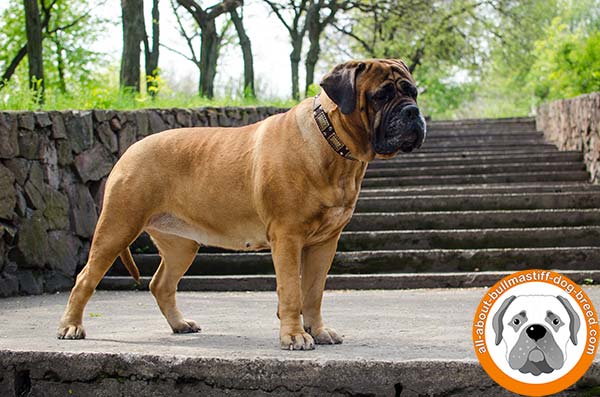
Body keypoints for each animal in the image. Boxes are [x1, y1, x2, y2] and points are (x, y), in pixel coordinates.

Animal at [56, 58, 426, 350]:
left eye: (413, 92)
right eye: (381, 96)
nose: (413, 112)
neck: (333, 143)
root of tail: (129, 149)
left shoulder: (324, 243)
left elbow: (314, 292)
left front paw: (318, 331)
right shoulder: (288, 238)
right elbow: (292, 291)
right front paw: (294, 336)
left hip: (181, 245)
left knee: (161, 284)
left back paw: (179, 324)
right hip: (117, 227)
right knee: (85, 278)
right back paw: (71, 326)